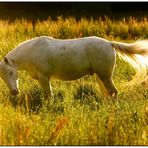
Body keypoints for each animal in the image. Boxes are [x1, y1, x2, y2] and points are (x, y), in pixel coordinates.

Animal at [0, 36, 148, 97]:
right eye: (3, 77)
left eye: (11, 72)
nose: (14, 92)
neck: (33, 51)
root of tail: (109, 43)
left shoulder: (44, 78)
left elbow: (49, 95)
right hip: (101, 77)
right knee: (107, 93)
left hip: (105, 76)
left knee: (113, 92)